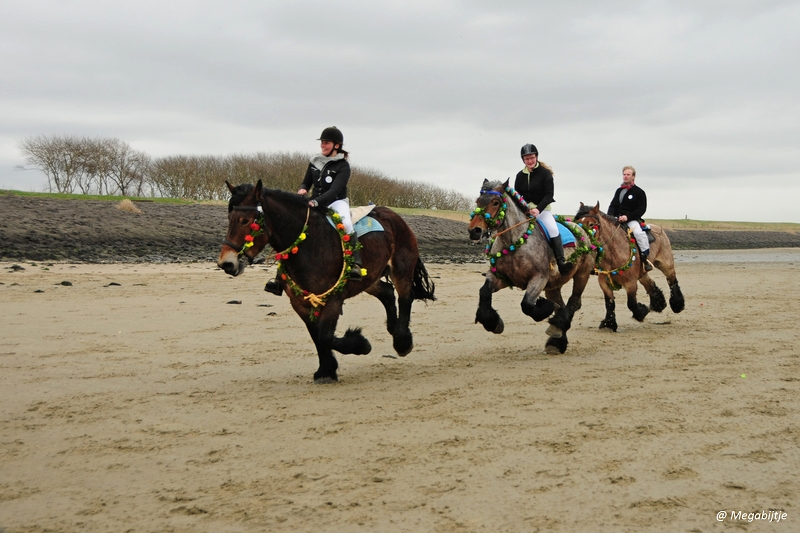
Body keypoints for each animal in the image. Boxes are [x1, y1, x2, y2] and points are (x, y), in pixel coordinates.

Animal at [216, 181, 434, 380]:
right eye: (230, 218)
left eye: (245, 221)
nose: (227, 263)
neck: (308, 244)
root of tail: (394, 216)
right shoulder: (300, 302)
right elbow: (316, 335)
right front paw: (326, 370)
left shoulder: (333, 299)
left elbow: (325, 336)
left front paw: (360, 344)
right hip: (370, 278)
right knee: (387, 293)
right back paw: (393, 328)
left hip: (401, 269)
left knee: (405, 297)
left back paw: (402, 340)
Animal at [468, 179, 592, 354]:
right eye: (478, 201)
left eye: (495, 202)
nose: (475, 231)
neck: (515, 242)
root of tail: (582, 229)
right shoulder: (500, 277)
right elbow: (484, 292)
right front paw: (492, 322)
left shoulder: (539, 278)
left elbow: (526, 305)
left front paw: (544, 307)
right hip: (553, 285)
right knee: (561, 305)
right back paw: (557, 340)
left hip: (582, 275)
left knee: (574, 302)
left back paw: (557, 327)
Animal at [572, 202, 684, 330]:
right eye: (578, 223)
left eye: (591, 224)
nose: (580, 242)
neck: (614, 253)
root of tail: (658, 229)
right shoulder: (604, 282)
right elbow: (609, 303)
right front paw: (609, 323)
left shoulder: (630, 282)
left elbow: (631, 303)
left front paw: (642, 312)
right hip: (642, 273)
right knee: (650, 284)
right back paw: (659, 304)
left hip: (666, 264)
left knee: (672, 280)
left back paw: (677, 304)